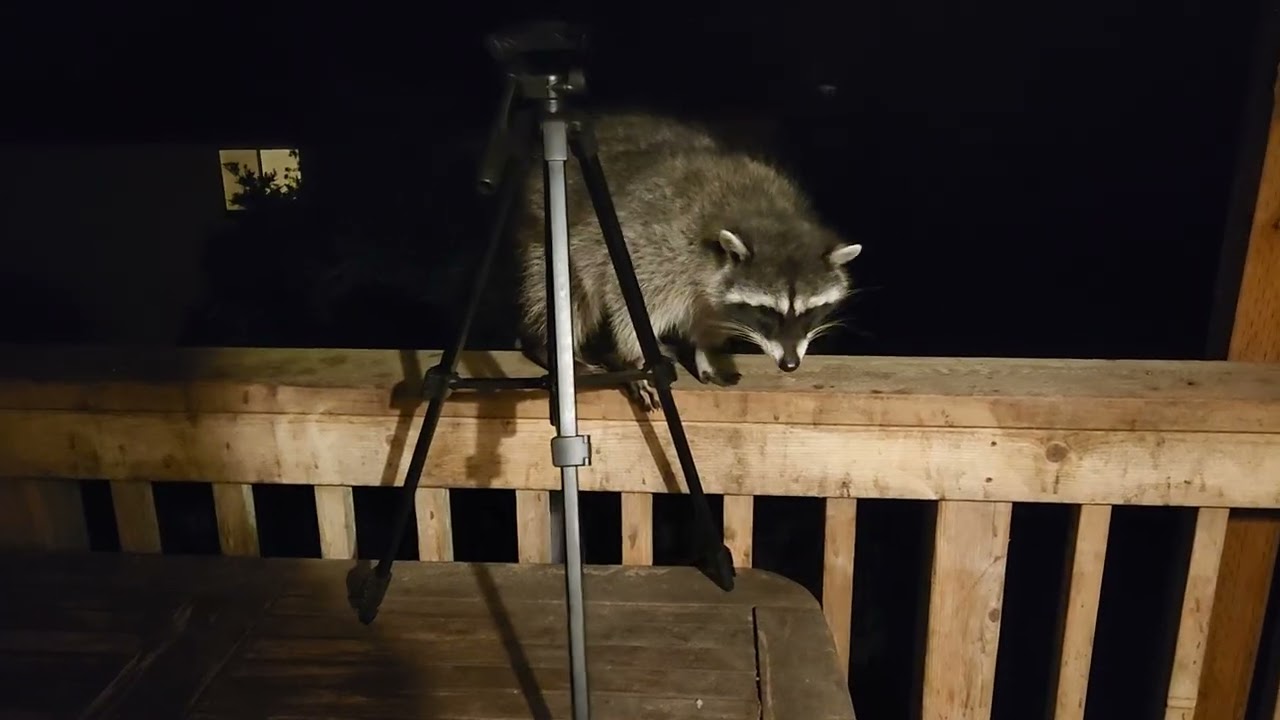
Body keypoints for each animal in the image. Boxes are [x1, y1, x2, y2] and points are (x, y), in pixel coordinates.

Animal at [514, 111, 862, 411]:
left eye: (810, 312)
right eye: (767, 312)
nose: (789, 364)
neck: (769, 217)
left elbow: (710, 314)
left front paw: (706, 347)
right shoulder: (656, 248)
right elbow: (632, 303)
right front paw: (635, 355)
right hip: (550, 231)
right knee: (566, 294)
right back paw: (547, 344)